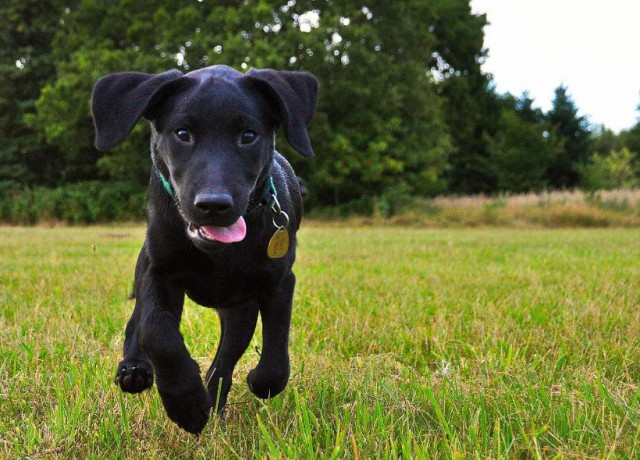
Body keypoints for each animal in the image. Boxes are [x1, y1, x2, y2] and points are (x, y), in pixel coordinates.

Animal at [90, 65, 318, 434]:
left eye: (248, 135)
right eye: (182, 133)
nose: (214, 205)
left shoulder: (279, 282)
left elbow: (274, 359)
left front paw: (234, 389)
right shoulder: (159, 271)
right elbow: (157, 332)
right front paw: (185, 402)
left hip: (239, 311)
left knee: (226, 359)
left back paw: (214, 398)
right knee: (137, 321)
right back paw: (136, 369)